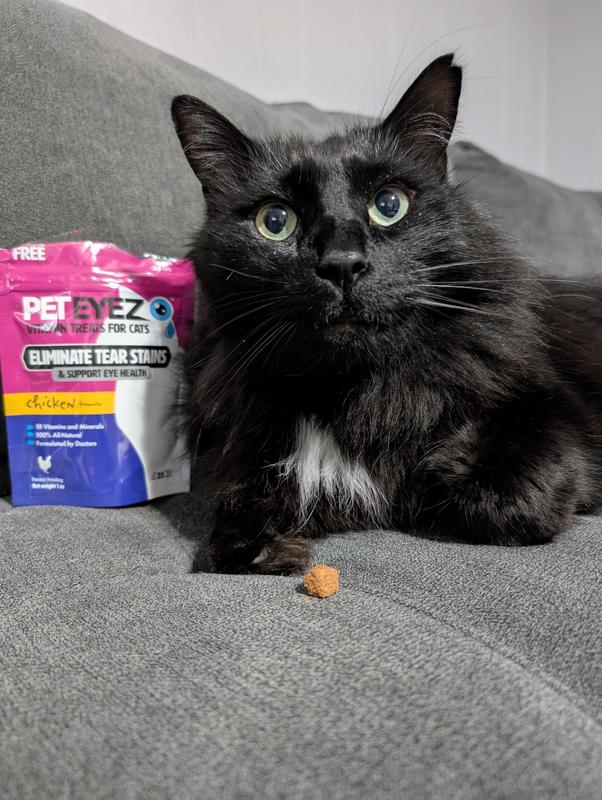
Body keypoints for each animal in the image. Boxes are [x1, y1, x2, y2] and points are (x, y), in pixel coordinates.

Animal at [171, 54, 602, 575]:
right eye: (275, 222)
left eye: (389, 205)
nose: (342, 264)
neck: (345, 391)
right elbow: (227, 537)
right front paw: (267, 548)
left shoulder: (551, 411)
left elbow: (499, 493)